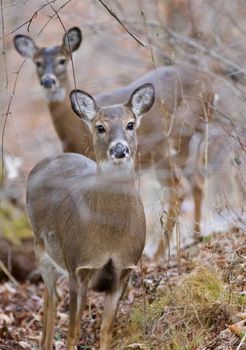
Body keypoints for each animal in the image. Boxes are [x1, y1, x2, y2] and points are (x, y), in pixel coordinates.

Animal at [26, 82, 155, 350]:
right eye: (100, 127)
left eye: (130, 124)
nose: (120, 149)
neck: (110, 237)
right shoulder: (78, 266)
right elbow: (73, 332)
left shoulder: (124, 271)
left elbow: (106, 332)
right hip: (41, 247)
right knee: (52, 299)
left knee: (50, 296)